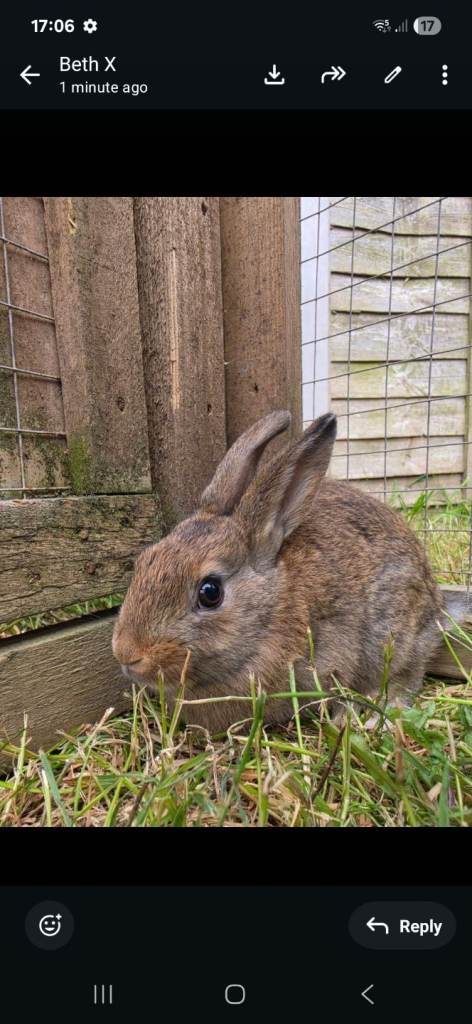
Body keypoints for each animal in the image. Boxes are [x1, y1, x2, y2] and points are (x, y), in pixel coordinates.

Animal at [112, 410, 444, 733]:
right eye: (144, 561)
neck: (272, 613)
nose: (126, 653)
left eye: (210, 592)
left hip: (397, 635)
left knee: (407, 677)